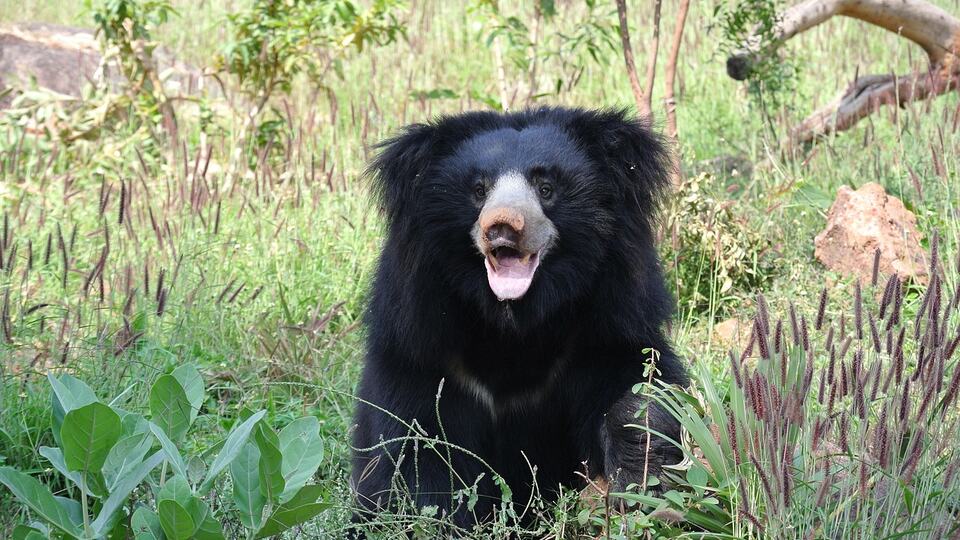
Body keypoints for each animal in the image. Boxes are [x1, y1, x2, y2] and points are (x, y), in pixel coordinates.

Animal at [351, 107, 687, 529]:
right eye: (479, 190)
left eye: (546, 188)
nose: (502, 226)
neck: (514, 320)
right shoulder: (419, 340)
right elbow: (415, 443)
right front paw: (434, 517)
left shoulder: (608, 320)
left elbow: (638, 381)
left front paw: (637, 469)